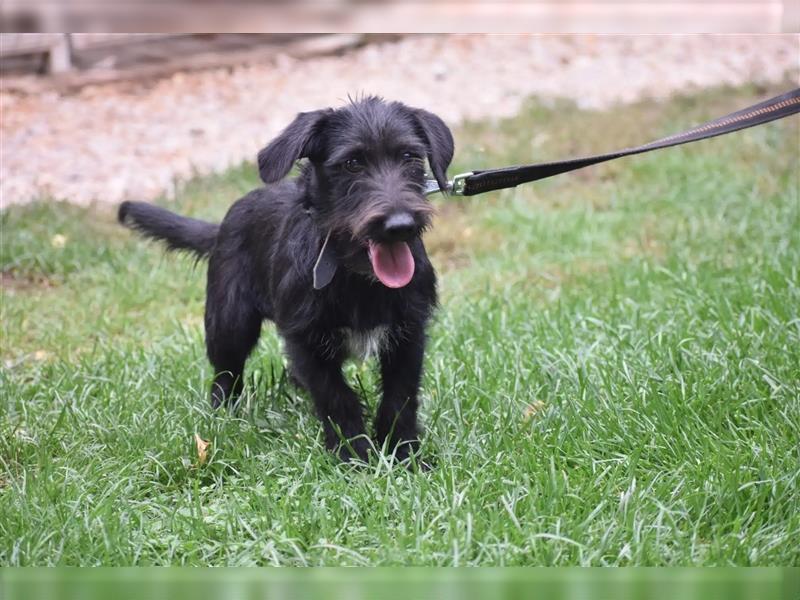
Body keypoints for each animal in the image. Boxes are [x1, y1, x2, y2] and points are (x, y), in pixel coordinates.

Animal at [119, 97, 456, 464]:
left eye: (410, 157)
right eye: (352, 164)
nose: (400, 225)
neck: (356, 276)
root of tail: (222, 225)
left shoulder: (408, 333)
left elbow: (400, 396)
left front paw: (403, 454)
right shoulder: (306, 337)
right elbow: (336, 396)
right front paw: (354, 455)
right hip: (229, 322)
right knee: (226, 373)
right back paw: (223, 416)